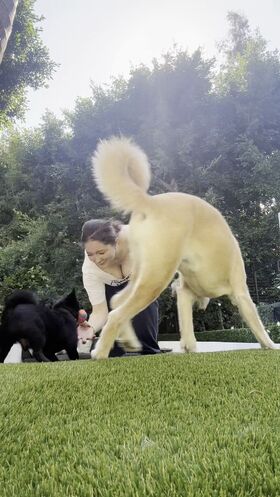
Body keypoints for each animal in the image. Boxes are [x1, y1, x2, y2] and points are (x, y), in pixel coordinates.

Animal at [91, 136, 274, 356]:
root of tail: (151, 202)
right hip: (156, 278)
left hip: (141, 274)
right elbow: (257, 324)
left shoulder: (184, 292)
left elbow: (186, 324)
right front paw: (271, 345)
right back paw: (100, 353)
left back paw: (129, 342)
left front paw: (189, 346)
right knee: (116, 314)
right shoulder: (241, 293)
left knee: (117, 301)